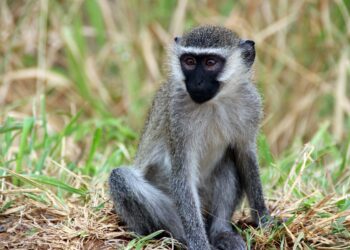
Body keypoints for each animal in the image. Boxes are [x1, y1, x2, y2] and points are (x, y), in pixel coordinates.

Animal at [109, 25, 270, 250]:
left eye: (210, 63)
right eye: (190, 61)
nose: (197, 82)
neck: (214, 103)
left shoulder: (251, 106)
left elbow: (245, 158)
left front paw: (265, 221)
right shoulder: (176, 117)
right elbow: (182, 174)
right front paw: (199, 243)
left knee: (229, 159)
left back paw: (220, 232)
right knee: (121, 177)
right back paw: (182, 238)